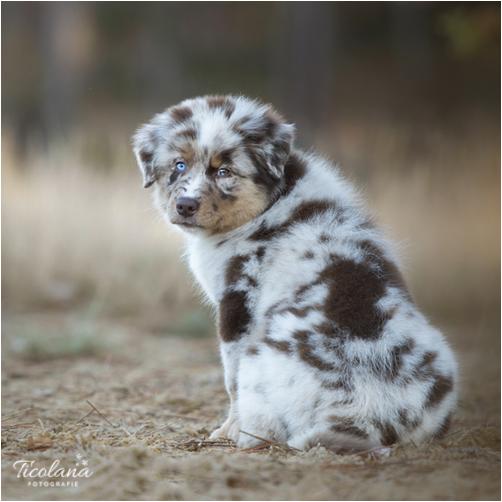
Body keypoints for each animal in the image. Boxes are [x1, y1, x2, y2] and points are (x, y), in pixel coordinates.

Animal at [131, 94, 456, 452]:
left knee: (264, 424)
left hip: (263, 355)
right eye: (179, 165)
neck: (271, 202)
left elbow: (230, 380)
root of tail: (368, 414)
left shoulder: (238, 305)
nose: (185, 206)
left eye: (224, 171)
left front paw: (227, 430)